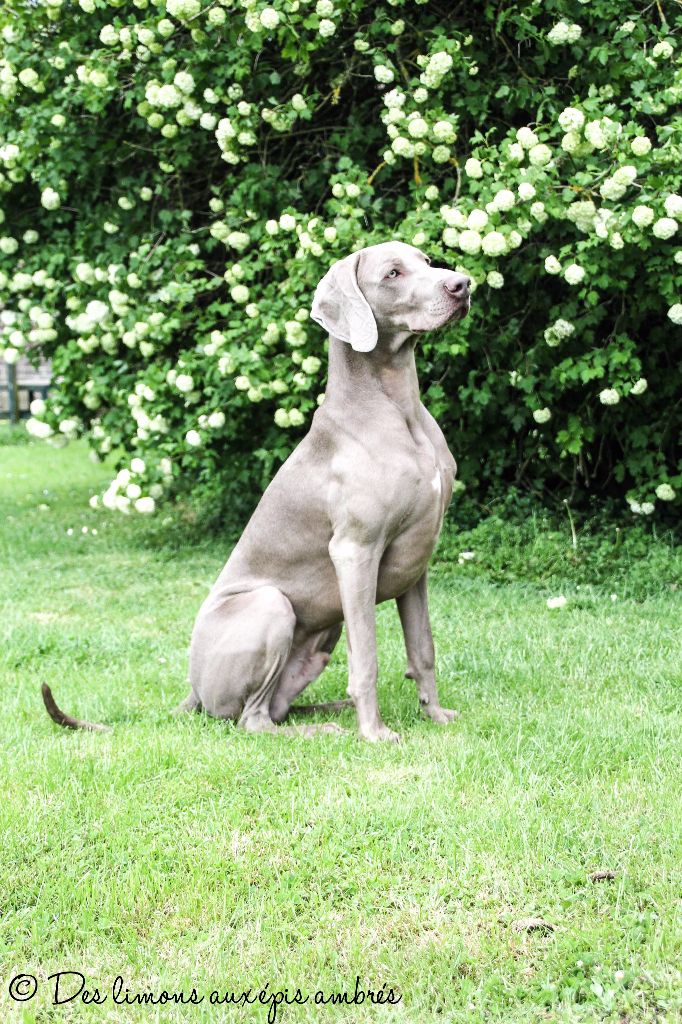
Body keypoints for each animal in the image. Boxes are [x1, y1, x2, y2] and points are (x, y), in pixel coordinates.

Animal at [39, 240, 466, 745]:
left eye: (427, 261)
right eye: (393, 273)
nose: (462, 284)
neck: (398, 409)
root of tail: (192, 688)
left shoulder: (416, 563)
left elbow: (423, 648)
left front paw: (435, 715)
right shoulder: (355, 551)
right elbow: (367, 658)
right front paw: (375, 733)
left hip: (322, 632)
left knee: (276, 709)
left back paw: (329, 711)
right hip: (272, 606)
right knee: (252, 720)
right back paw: (327, 727)